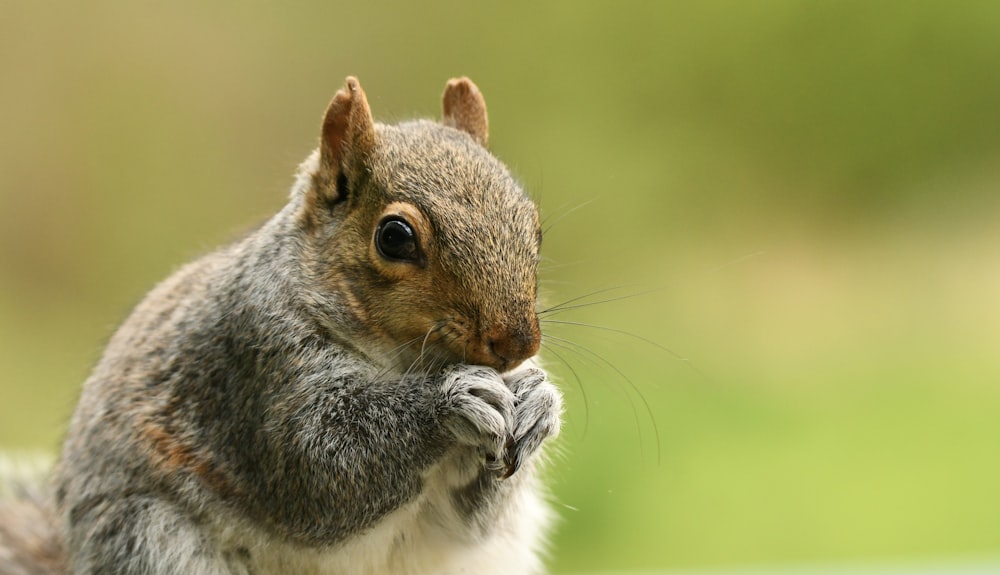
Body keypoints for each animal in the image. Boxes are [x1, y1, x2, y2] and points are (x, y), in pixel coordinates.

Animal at [0, 77, 564, 575]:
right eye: (394, 237)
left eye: (534, 225)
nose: (518, 343)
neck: (407, 360)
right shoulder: (255, 363)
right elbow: (320, 464)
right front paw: (452, 400)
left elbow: (470, 518)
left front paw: (538, 401)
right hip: (146, 536)